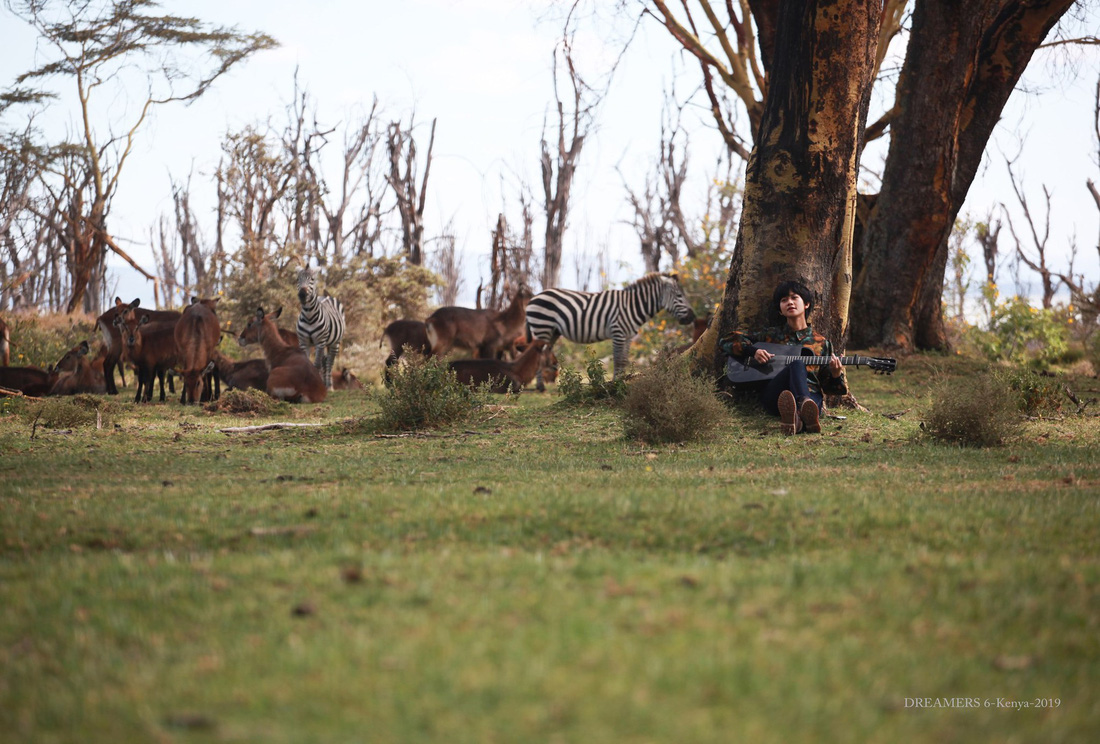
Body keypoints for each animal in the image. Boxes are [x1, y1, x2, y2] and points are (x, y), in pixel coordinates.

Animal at [523, 271, 695, 389]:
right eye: (679, 296)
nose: (692, 317)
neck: (632, 306)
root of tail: (533, 298)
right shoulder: (618, 332)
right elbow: (617, 359)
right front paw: (615, 383)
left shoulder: (628, 336)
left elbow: (624, 360)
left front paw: (623, 381)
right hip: (542, 327)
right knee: (537, 355)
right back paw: (540, 387)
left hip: (552, 332)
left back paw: (547, 385)